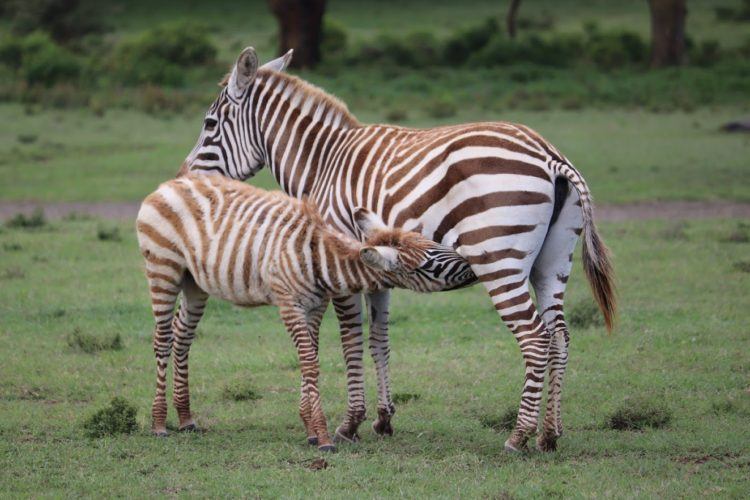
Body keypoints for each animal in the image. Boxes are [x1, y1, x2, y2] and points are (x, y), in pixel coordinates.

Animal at [136, 174, 476, 452]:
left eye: (433, 244)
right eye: (428, 264)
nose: (473, 267)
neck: (318, 258)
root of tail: (169, 183)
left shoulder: (315, 306)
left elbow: (308, 358)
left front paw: (310, 430)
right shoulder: (289, 305)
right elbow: (310, 364)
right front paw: (323, 437)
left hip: (194, 283)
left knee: (183, 336)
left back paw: (185, 419)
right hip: (163, 269)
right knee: (163, 339)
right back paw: (159, 424)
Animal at [182, 47, 616, 454]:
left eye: (208, 124)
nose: (184, 179)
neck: (322, 163)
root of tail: (549, 155)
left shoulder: (338, 260)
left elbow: (350, 340)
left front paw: (349, 424)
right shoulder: (376, 268)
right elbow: (379, 339)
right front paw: (382, 419)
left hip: (500, 260)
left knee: (535, 338)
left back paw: (518, 436)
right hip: (552, 262)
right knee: (560, 336)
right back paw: (549, 435)